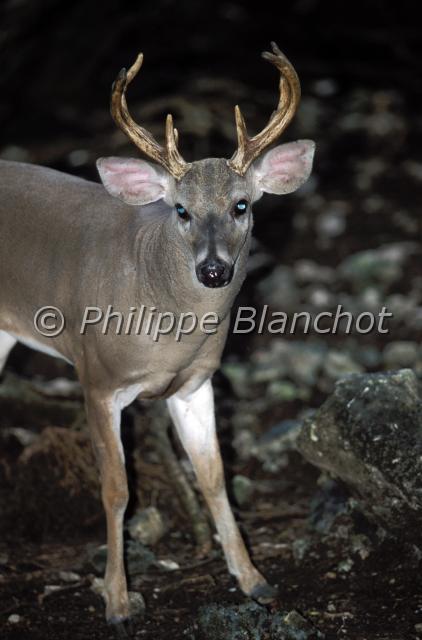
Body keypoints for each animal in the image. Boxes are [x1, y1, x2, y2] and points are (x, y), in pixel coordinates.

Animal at [0, 43, 315, 626]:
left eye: (242, 204)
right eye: (181, 209)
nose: (213, 271)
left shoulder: (195, 383)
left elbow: (214, 476)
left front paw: (253, 579)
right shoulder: (97, 377)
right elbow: (117, 490)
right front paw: (117, 600)